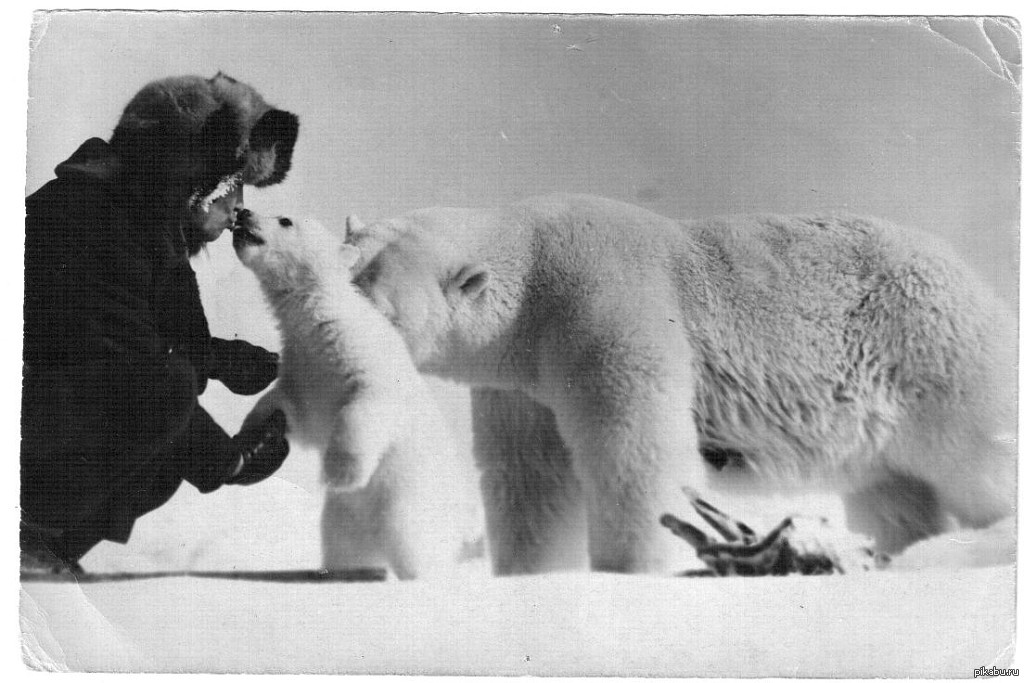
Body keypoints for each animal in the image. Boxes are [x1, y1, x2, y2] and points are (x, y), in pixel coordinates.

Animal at [346, 193, 1015, 577]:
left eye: (379, 299)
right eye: (346, 263)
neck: (534, 284)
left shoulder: (607, 310)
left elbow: (635, 453)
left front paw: (633, 571)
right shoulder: (521, 383)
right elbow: (531, 476)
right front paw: (533, 574)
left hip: (925, 344)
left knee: (979, 454)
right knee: (891, 491)